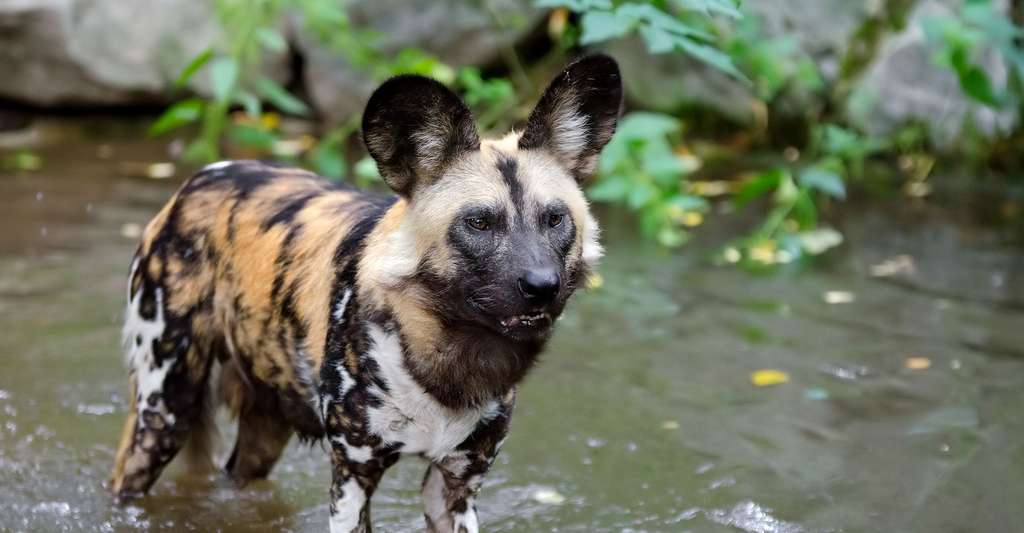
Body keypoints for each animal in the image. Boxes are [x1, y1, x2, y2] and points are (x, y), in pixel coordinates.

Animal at [112, 52, 622, 527]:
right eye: (479, 222)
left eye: (554, 219)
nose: (542, 285)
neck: (447, 356)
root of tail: (201, 178)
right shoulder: (353, 477)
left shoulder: (456, 486)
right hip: (164, 412)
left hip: (263, 427)